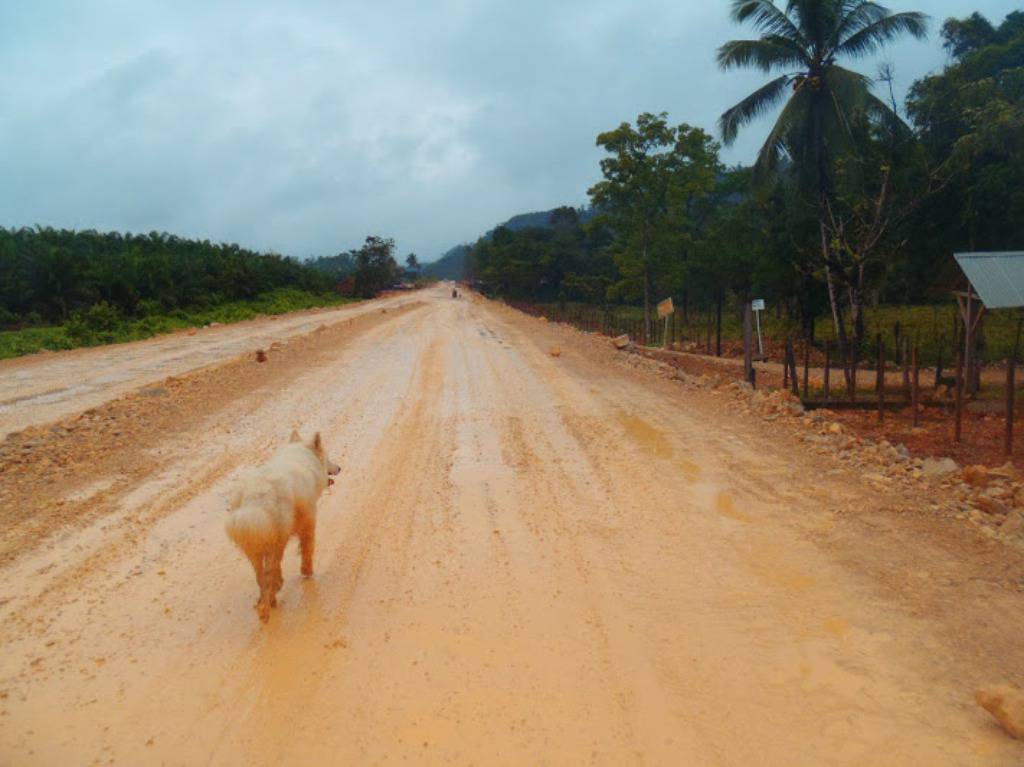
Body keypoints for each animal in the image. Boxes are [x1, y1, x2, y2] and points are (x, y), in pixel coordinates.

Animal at [227, 430, 339, 622]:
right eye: (328, 459)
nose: (339, 468)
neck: (303, 456)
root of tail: (255, 497)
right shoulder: (309, 520)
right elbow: (308, 548)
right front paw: (307, 571)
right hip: (278, 539)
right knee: (270, 570)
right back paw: (268, 605)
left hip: (256, 545)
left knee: (261, 575)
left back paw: (265, 600)